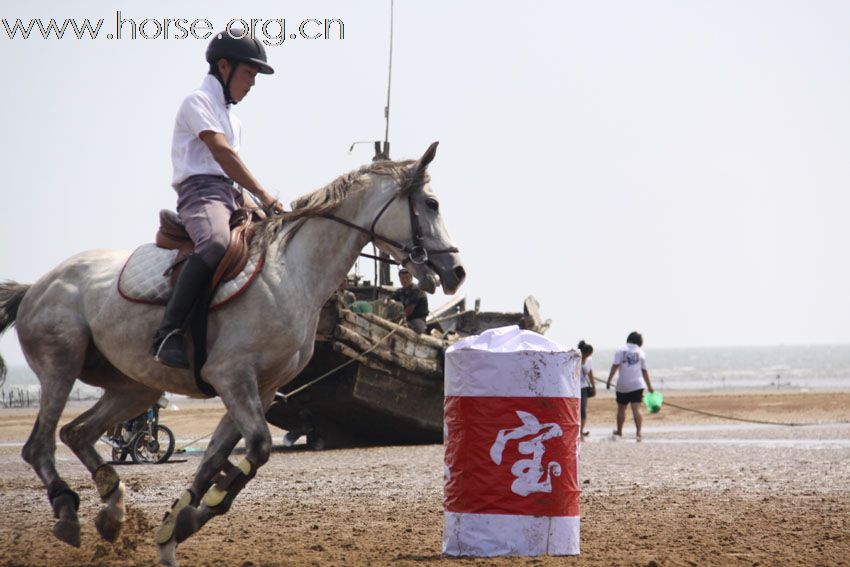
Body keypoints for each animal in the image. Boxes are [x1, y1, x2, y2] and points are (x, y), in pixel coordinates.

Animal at [0, 143, 464, 567]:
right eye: (432, 203)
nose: (457, 273)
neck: (293, 274)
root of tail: (37, 285)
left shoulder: (260, 387)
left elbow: (212, 464)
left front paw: (173, 529)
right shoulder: (232, 377)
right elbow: (256, 449)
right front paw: (186, 521)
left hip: (133, 390)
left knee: (75, 433)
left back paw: (112, 510)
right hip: (62, 365)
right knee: (39, 445)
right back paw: (67, 510)